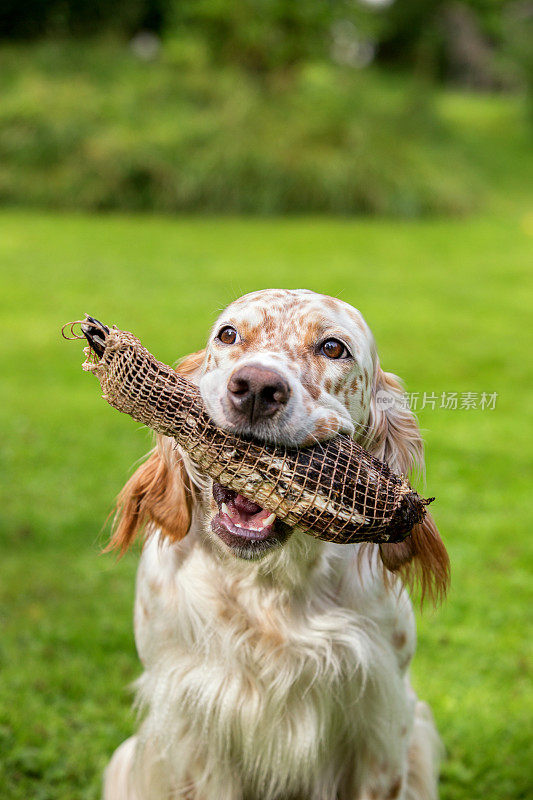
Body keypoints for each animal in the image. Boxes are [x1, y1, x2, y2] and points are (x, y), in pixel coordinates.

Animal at [102, 290, 446, 800]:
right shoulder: (194, 724)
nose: (256, 389)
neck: (269, 585)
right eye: (228, 335)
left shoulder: (380, 723)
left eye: (333, 348)